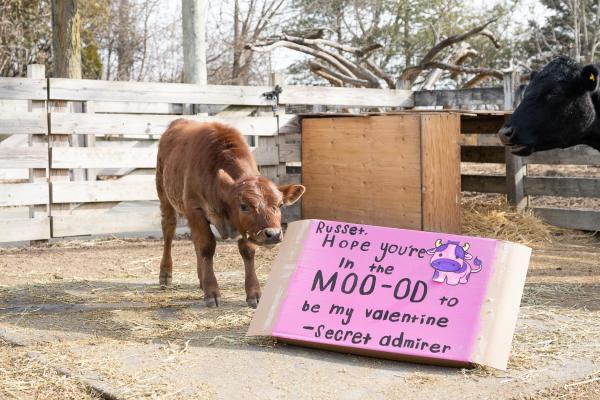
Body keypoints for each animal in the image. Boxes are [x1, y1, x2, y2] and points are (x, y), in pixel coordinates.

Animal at [156, 119, 304, 306]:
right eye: (243, 206)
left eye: (280, 204)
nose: (273, 234)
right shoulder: (195, 208)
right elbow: (206, 246)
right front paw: (211, 292)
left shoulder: (242, 227)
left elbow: (247, 250)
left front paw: (254, 293)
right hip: (164, 194)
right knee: (169, 230)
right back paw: (165, 274)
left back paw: (201, 279)